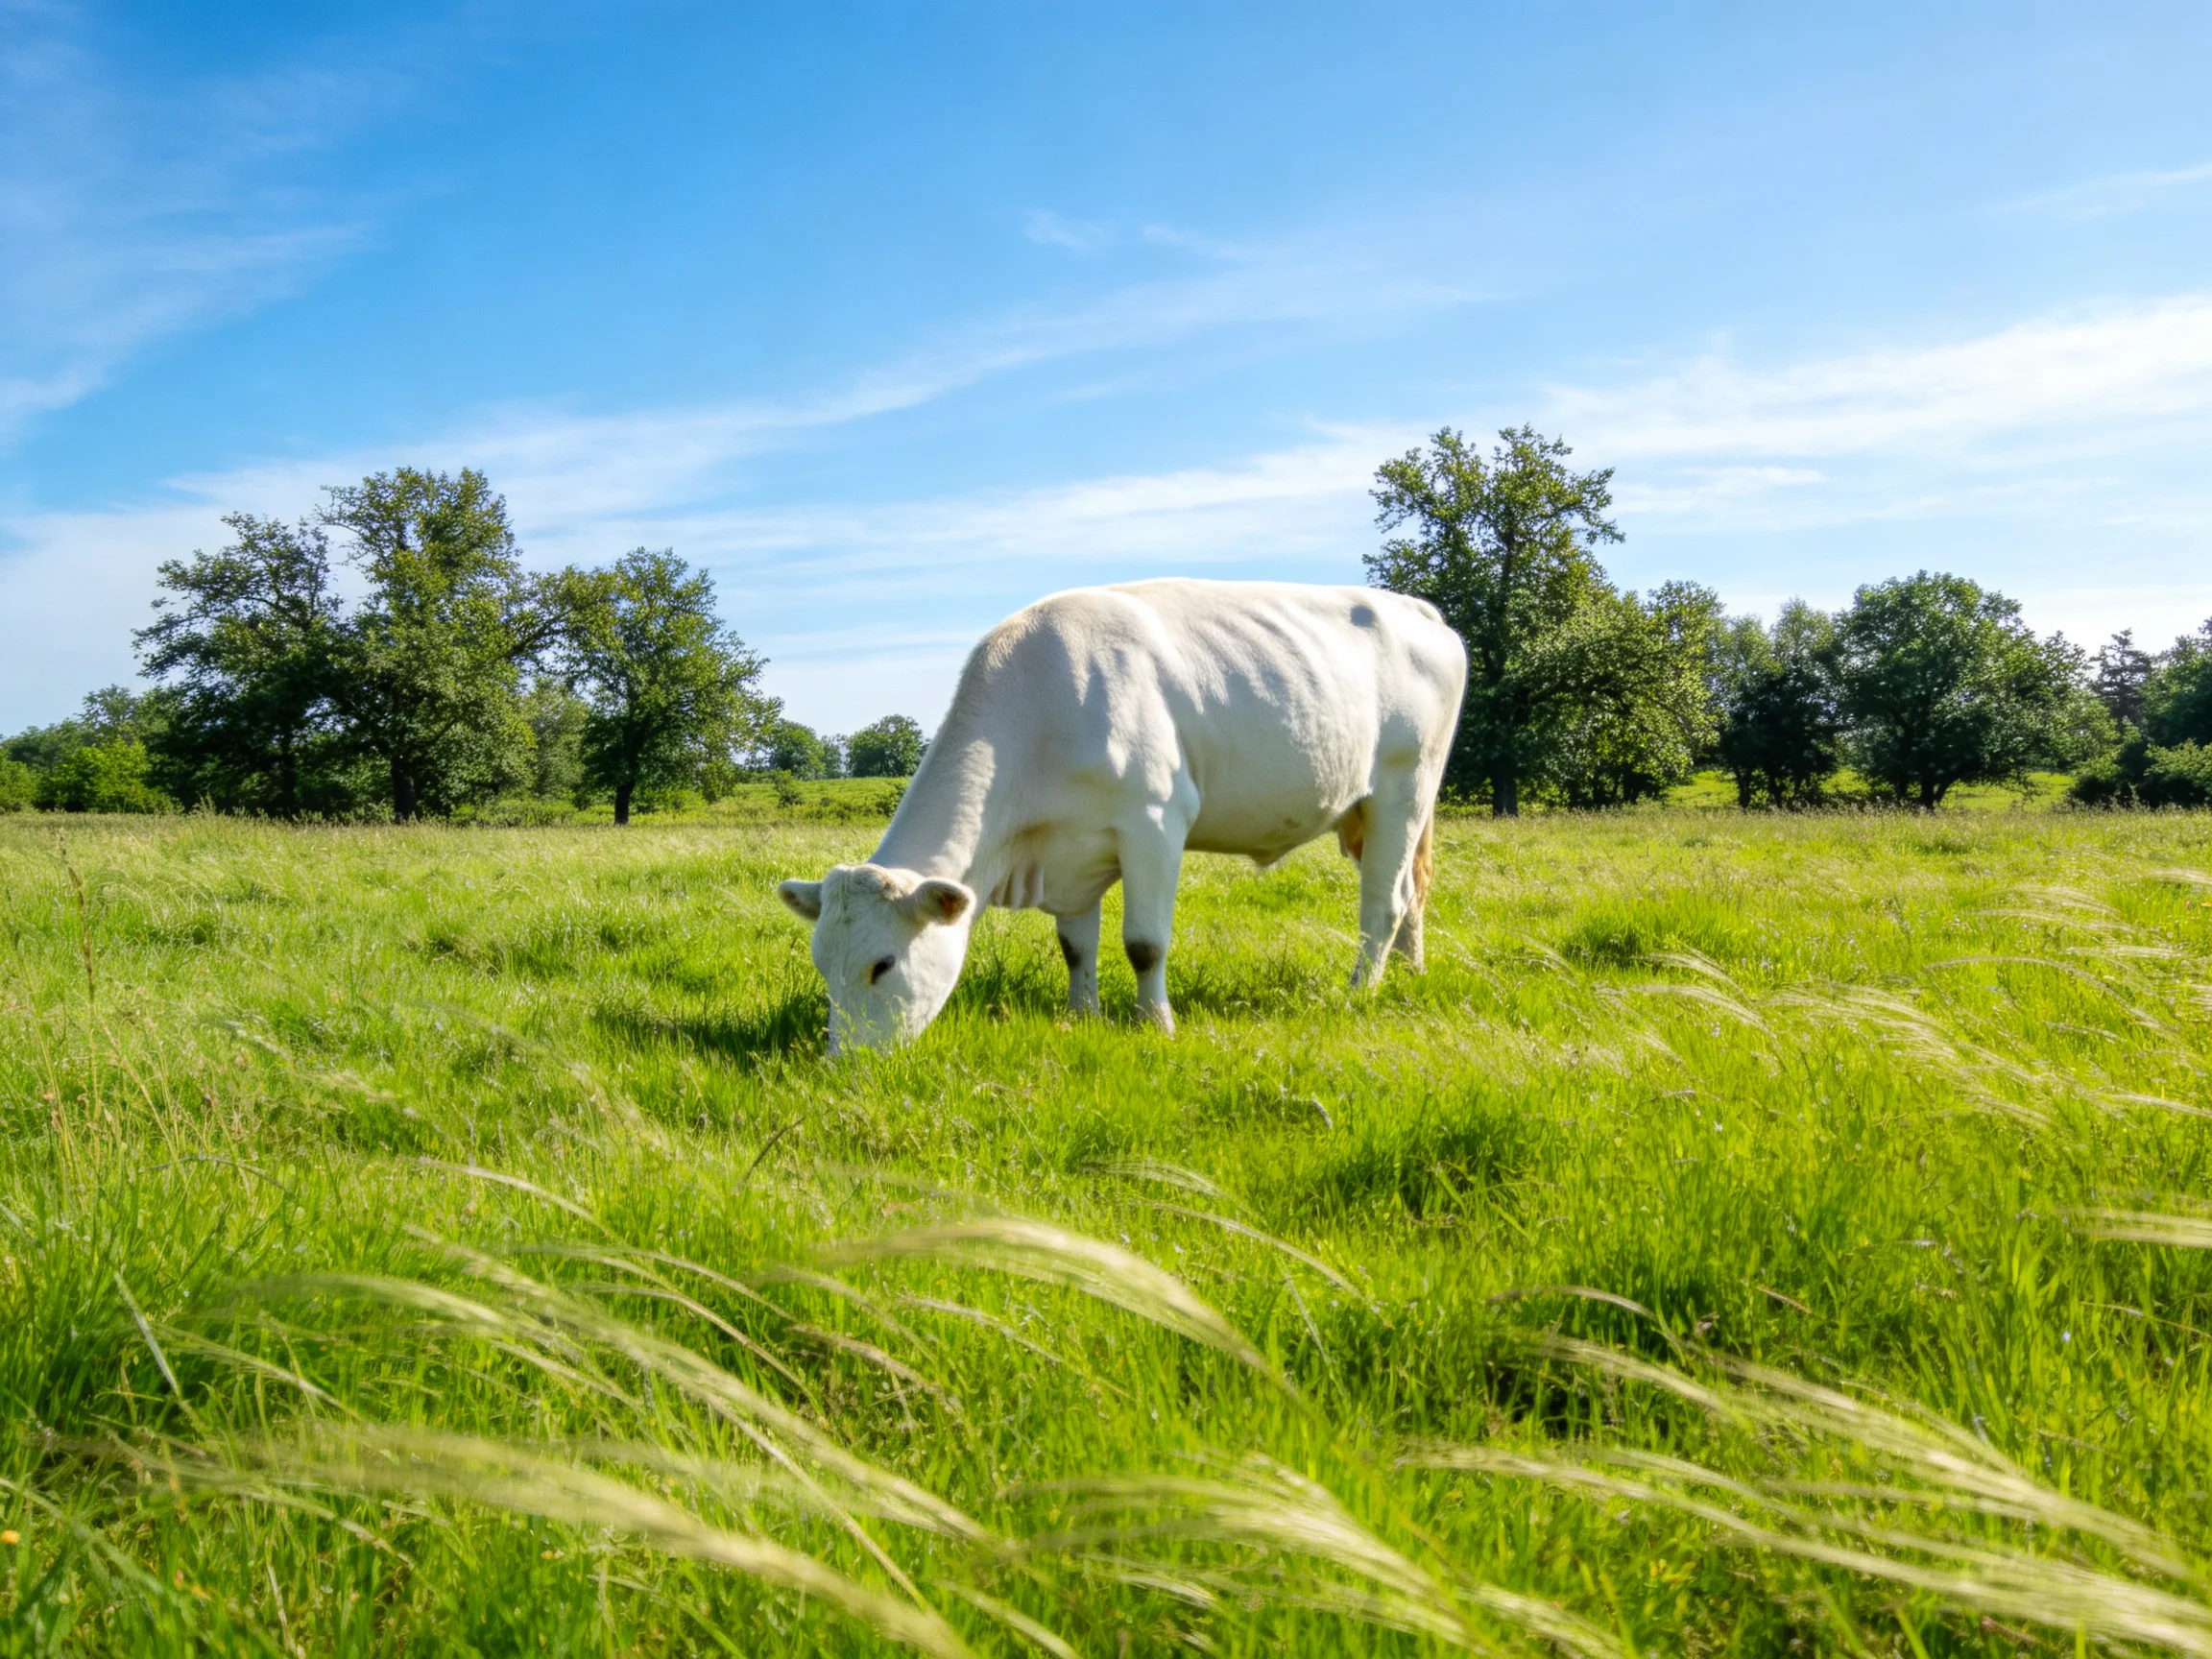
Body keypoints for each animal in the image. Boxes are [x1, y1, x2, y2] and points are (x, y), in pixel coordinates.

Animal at [777, 578, 1467, 1053]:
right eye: (821, 965)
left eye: (883, 965)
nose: (843, 1064)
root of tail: (1422, 610)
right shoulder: (1069, 846)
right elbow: (1075, 945)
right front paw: (1083, 1014)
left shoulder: (1155, 823)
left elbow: (1144, 943)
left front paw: (1155, 1022)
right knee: (1412, 890)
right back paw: (1410, 975)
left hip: (1403, 787)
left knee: (1383, 903)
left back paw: (1358, 992)